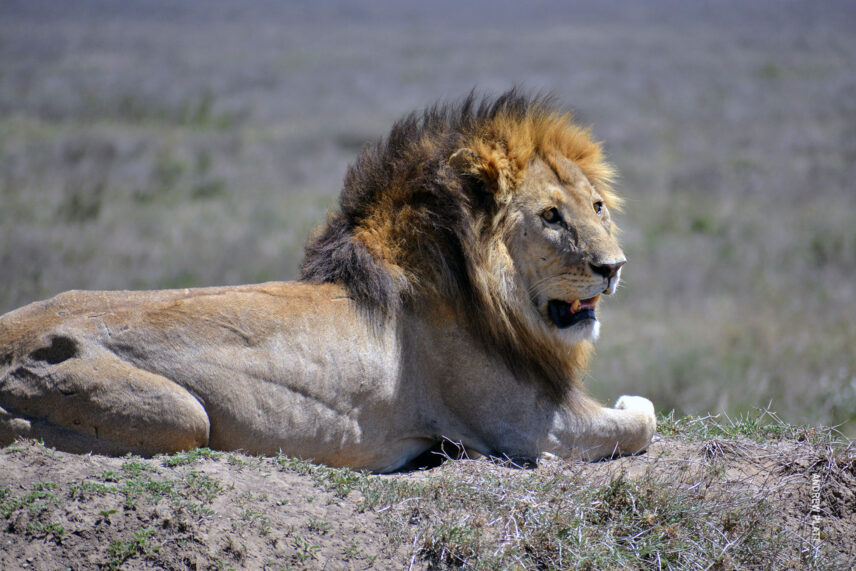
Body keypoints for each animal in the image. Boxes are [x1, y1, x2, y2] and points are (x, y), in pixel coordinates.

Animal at [0, 90, 655, 472]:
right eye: (550, 217)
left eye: (598, 207)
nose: (614, 267)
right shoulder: (529, 429)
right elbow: (640, 420)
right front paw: (632, 400)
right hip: (178, 417)